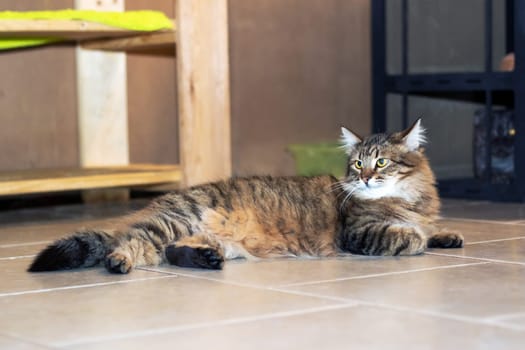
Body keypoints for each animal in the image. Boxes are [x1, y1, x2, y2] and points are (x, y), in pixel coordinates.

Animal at [28, 119, 462, 274]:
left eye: (382, 162)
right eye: (357, 164)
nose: (368, 178)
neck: (408, 199)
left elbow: (432, 229)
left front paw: (447, 235)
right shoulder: (357, 234)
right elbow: (407, 238)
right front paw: (418, 238)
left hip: (208, 239)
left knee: (171, 252)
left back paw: (205, 260)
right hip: (172, 223)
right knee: (131, 242)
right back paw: (118, 261)